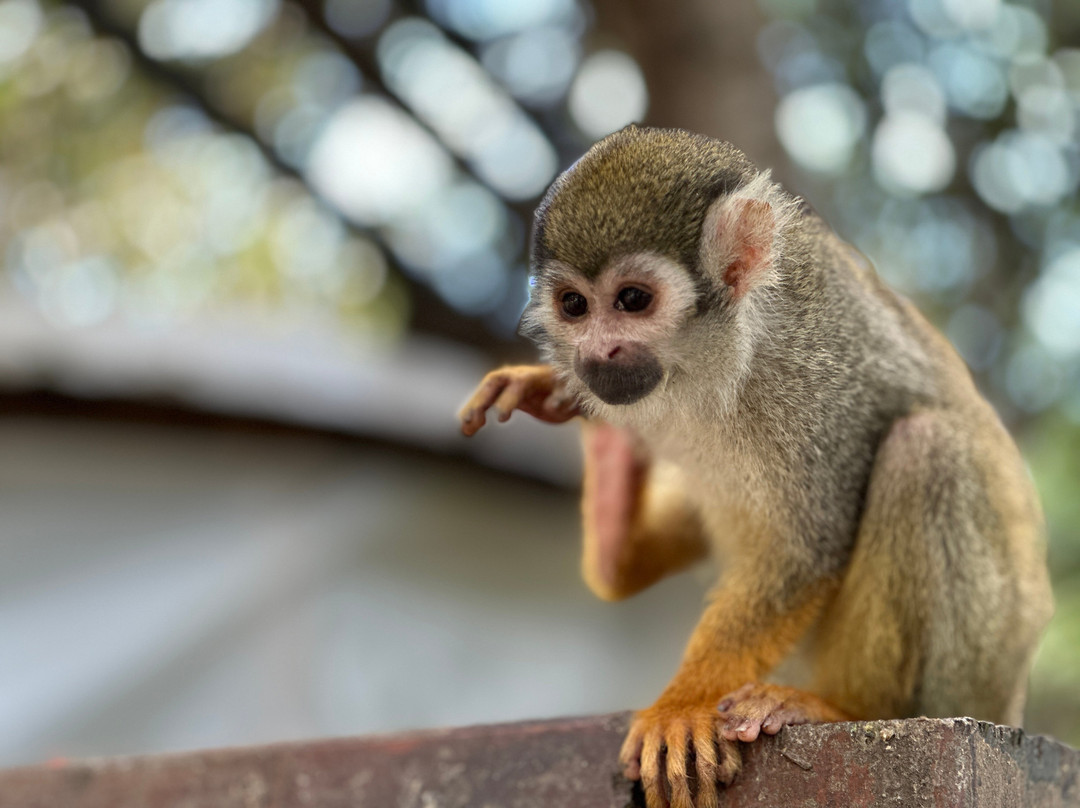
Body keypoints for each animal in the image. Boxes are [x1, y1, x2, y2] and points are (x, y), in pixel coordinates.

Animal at [457, 126, 1053, 808]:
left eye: (632, 300)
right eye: (574, 306)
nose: (597, 353)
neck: (722, 354)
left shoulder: (809, 379)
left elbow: (804, 549)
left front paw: (681, 705)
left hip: (979, 661)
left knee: (926, 451)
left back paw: (846, 707)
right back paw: (613, 530)